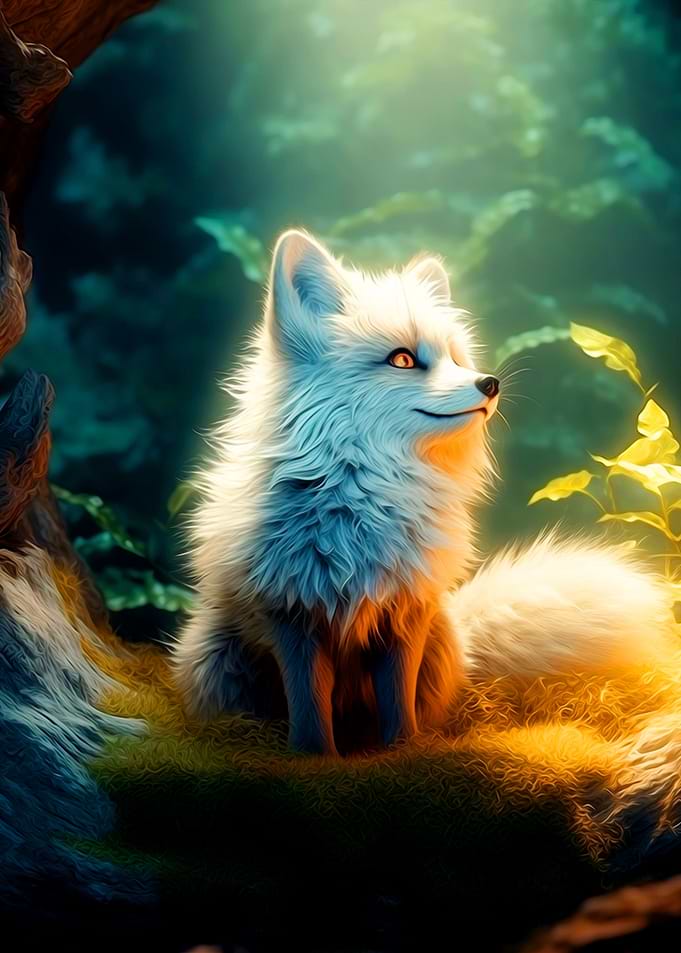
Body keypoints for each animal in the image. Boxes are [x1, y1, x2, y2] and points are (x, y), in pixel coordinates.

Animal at [172, 228, 676, 755]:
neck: (369, 497)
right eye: (403, 359)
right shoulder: (292, 615)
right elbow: (309, 708)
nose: (490, 383)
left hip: (437, 641)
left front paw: (404, 753)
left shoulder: (405, 613)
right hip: (211, 662)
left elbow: (399, 702)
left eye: (455, 358)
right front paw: (313, 758)